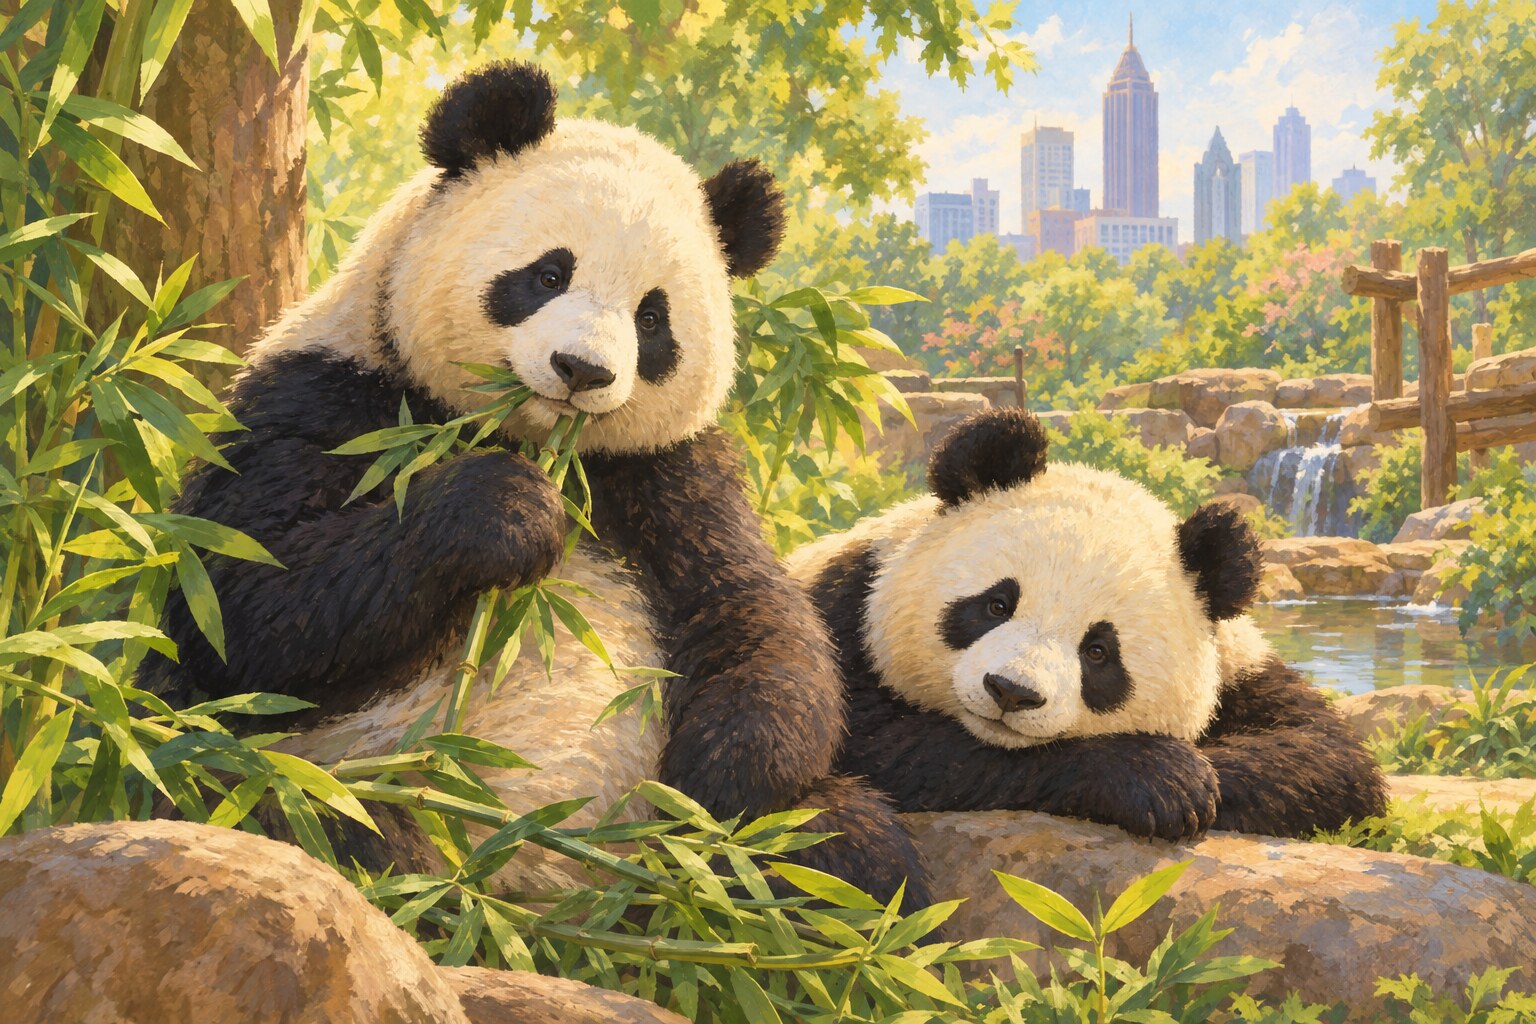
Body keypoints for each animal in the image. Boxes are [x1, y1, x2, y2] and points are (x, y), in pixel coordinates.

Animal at [140, 61, 928, 905]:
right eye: (549, 274)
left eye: (653, 319)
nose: (583, 370)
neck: (532, 440)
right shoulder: (327, 397)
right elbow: (241, 600)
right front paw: (505, 513)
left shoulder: (667, 473)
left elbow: (754, 614)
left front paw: (715, 782)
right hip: (313, 774)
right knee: (280, 809)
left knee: (850, 852)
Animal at [788, 408, 1387, 841]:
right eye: (996, 605)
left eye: (1098, 651)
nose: (1011, 692)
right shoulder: (843, 604)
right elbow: (864, 739)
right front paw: (1160, 779)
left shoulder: (1241, 667)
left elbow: (1326, 758)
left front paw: (1191, 778)